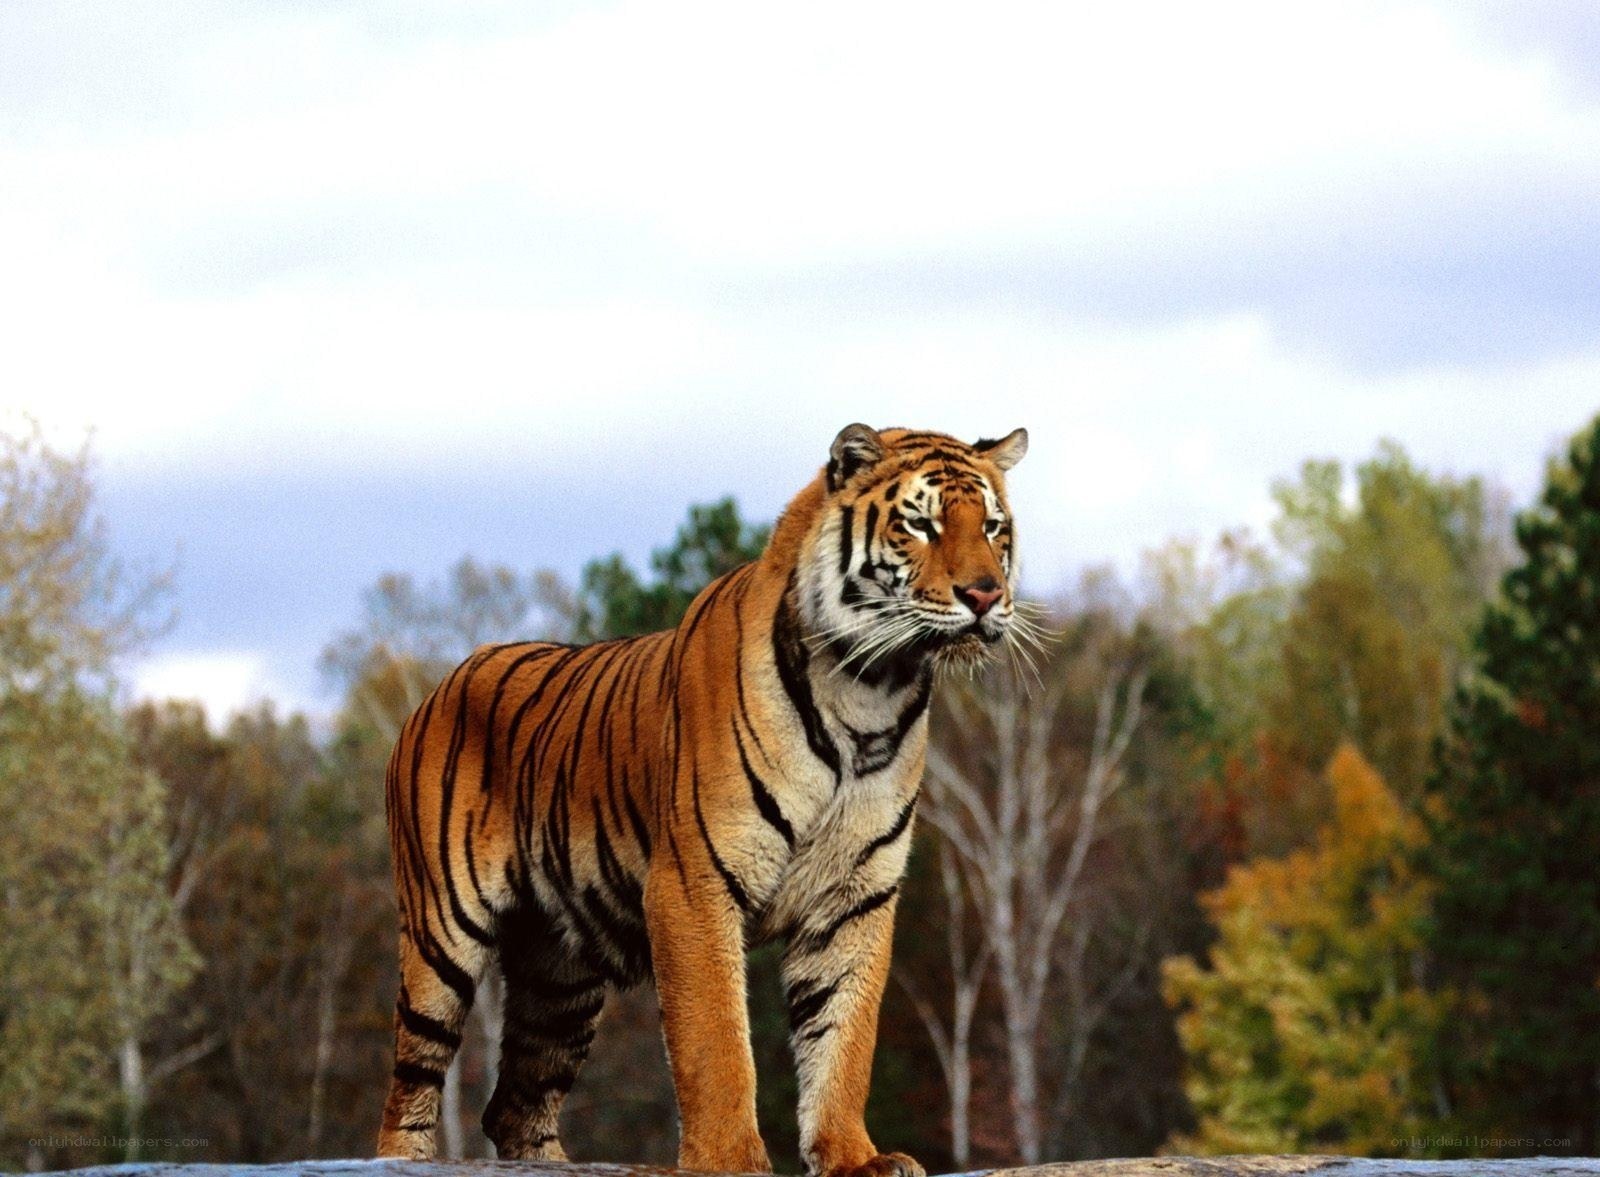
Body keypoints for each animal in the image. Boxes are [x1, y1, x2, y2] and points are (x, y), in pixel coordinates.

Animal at [377, 423, 1029, 1176]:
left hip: (559, 974)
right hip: (442, 935)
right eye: (921, 525)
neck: (869, 692)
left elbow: (844, 1036)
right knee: (410, 1086)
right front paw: (730, 1159)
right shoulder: (694, 883)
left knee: (516, 1100)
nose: (984, 595)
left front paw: (853, 1155)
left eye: (992, 526)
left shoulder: (854, 897)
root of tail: (439, 683)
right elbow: (716, 1040)